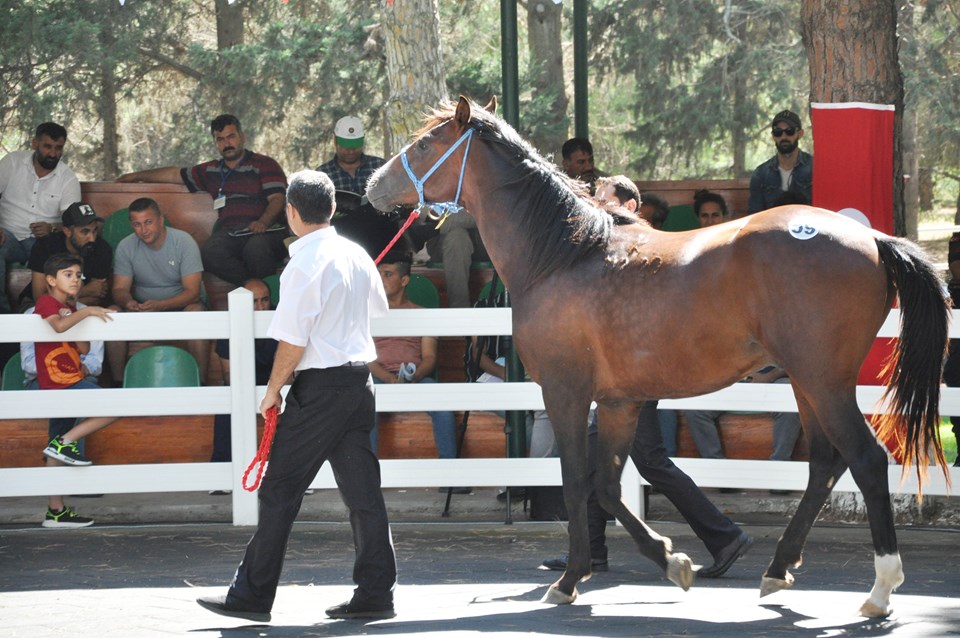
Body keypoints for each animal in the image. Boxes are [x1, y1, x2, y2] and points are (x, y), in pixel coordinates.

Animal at [364, 97, 948, 616]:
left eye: (424, 144)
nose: (373, 187)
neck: (564, 255)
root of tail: (872, 238)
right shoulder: (620, 401)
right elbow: (606, 486)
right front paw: (671, 561)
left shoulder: (564, 391)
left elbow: (575, 482)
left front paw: (570, 580)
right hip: (808, 383)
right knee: (825, 464)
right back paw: (777, 570)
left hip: (823, 381)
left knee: (867, 460)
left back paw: (879, 591)